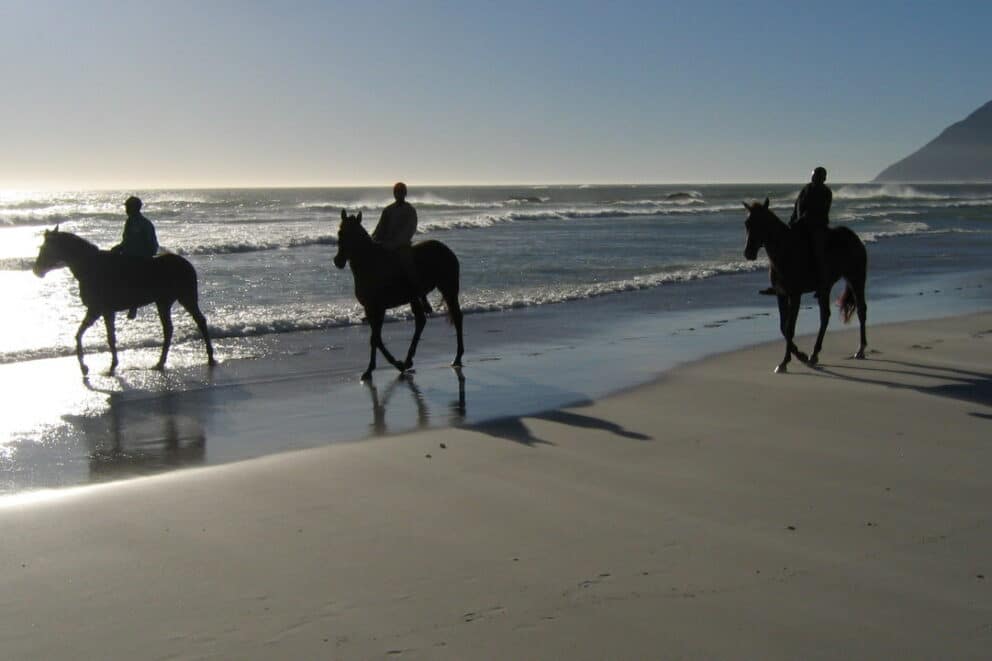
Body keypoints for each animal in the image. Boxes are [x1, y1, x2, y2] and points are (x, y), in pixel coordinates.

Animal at [32, 227, 216, 376]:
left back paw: (209, 357)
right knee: (170, 329)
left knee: (198, 321)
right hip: (164, 302)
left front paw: (89, 367)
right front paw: (108, 364)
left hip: (185, 297)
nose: (36, 270)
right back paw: (162, 362)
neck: (90, 267)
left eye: (44, 248)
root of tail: (187, 264)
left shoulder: (97, 310)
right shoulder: (103, 311)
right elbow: (97, 336)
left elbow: (90, 336)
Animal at [333, 209, 464, 381]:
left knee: (456, 318)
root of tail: (447, 250)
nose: (338, 261)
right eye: (340, 232)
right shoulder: (371, 309)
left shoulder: (378, 308)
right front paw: (380, 367)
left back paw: (457, 357)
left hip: (448, 289)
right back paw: (409, 360)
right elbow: (376, 339)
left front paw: (389, 366)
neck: (370, 263)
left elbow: (376, 339)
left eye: (352, 234)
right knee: (421, 321)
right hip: (415, 297)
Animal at [742, 198, 867, 373]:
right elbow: (783, 327)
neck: (785, 251)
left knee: (861, 310)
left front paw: (785, 362)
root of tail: (855, 239)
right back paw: (814, 354)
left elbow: (789, 328)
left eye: (761, 223)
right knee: (825, 316)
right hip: (825, 288)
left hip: (856, 279)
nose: (748, 253)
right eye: (747, 223)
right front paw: (800, 355)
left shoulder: (795, 295)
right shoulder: (781, 294)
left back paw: (860, 350)